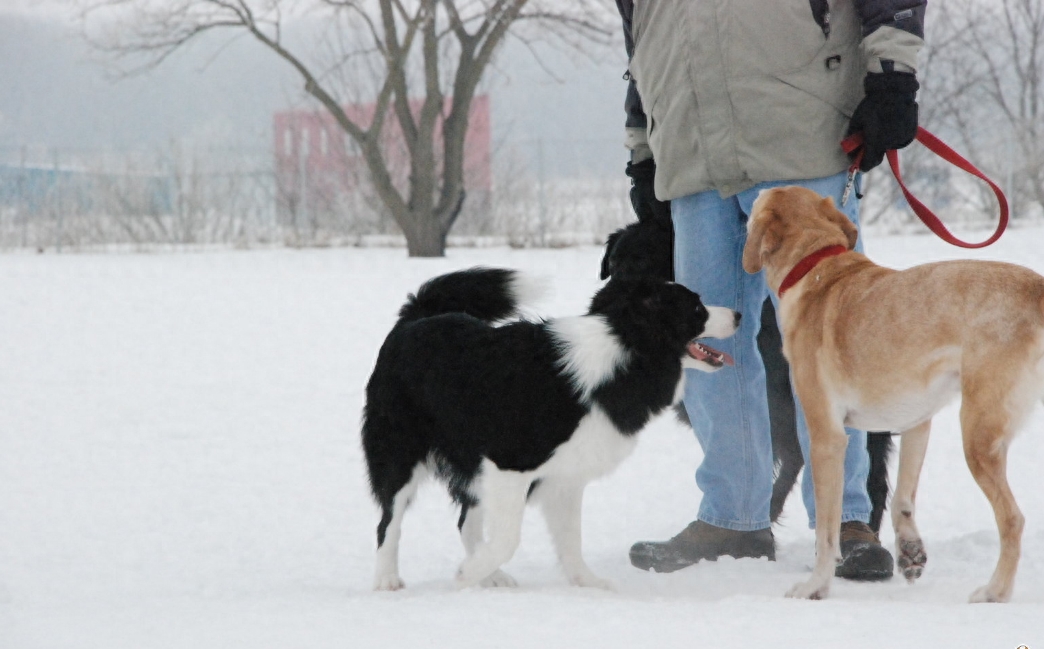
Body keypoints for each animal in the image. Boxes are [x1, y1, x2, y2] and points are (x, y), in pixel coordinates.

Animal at [363, 267, 739, 592]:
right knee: (388, 521)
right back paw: (387, 580)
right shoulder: (509, 464)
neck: (624, 351)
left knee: (466, 523)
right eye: (697, 307)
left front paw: (587, 583)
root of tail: (415, 318)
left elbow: (570, 538)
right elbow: (508, 539)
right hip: (400, 454)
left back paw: (490, 577)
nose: (738, 315)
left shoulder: (565, 476)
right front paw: (464, 575)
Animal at [743, 186, 1044, 605]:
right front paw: (909, 550)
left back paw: (995, 591)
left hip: (979, 437)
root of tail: (1036, 288)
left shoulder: (827, 438)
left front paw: (816, 586)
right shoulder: (916, 420)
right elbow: (902, 495)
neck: (816, 268)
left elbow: (827, 531)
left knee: (1013, 519)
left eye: (759, 200)